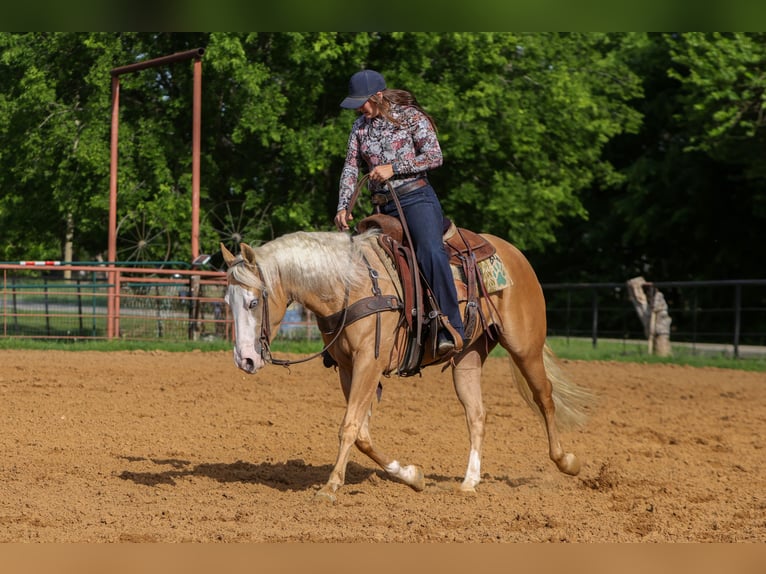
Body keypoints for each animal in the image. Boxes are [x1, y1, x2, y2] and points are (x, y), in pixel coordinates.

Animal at [220, 224, 593, 503]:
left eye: (253, 302)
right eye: (228, 301)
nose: (245, 360)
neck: (349, 284)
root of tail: (514, 254)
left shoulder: (369, 363)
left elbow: (349, 427)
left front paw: (330, 487)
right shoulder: (348, 369)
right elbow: (363, 435)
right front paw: (413, 476)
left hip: (525, 346)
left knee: (544, 396)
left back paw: (567, 462)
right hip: (468, 358)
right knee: (477, 414)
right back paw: (469, 483)